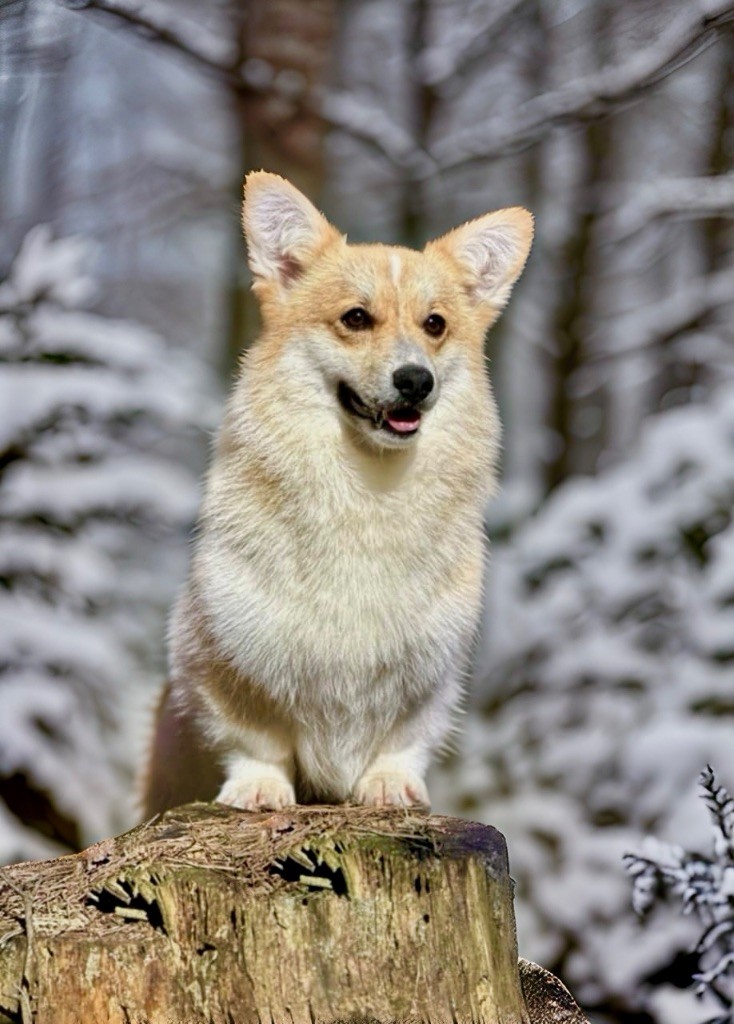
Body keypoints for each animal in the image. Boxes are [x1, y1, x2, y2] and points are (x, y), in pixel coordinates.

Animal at [141, 169, 532, 815]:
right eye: (355, 318)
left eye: (435, 324)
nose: (416, 381)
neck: (368, 483)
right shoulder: (227, 657)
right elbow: (255, 738)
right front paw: (258, 788)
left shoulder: (429, 676)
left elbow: (404, 739)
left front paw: (389, 784)